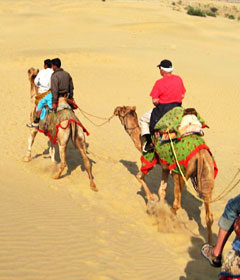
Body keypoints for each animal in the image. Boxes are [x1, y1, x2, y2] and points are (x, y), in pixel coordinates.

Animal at [113, 105, 217, 243]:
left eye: (121, 110)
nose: (115, 109)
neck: (140, 139)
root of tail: (200, 154)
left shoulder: (150, 159)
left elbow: (139, 176)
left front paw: (152, 202)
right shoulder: (165, 167)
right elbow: (161, 190)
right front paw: (159, 206)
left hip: (179, 172)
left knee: (177, 203)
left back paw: (166, 224)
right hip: (207, 172)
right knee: (209, 215)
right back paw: (209, 245)